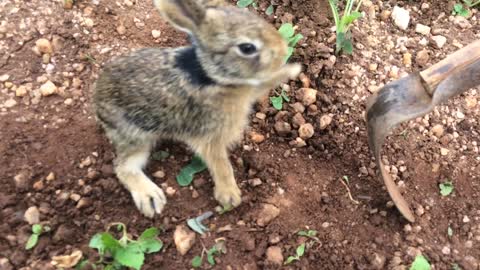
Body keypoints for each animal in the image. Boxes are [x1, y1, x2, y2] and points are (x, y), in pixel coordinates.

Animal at [93, 0, 300, 216]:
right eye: (247, 47)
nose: (282, 50)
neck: (212, 77)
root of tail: (96, 99)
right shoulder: (209, 136)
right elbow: (221, 165)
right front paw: (229, 196)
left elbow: (264, 83)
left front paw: (292, 69)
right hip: (136, 136)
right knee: (123, 167)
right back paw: (150, 198)